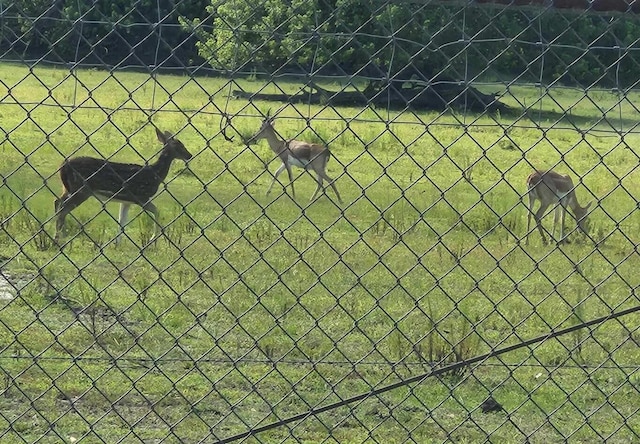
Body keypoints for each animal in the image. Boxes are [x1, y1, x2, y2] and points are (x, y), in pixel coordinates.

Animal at [54, 127, 192, 246]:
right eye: (179, 145)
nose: (189, 155)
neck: (155, 174)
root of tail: (62, 166)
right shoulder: (141, 196)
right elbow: (157, 212)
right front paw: (153, 239)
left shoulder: (126, 200)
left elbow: (122, 221)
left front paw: (117, 243)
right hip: (81, 189)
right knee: (63, 208)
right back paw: (61, 236)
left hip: (69, 188)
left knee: (58, 202)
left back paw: (59, 234)